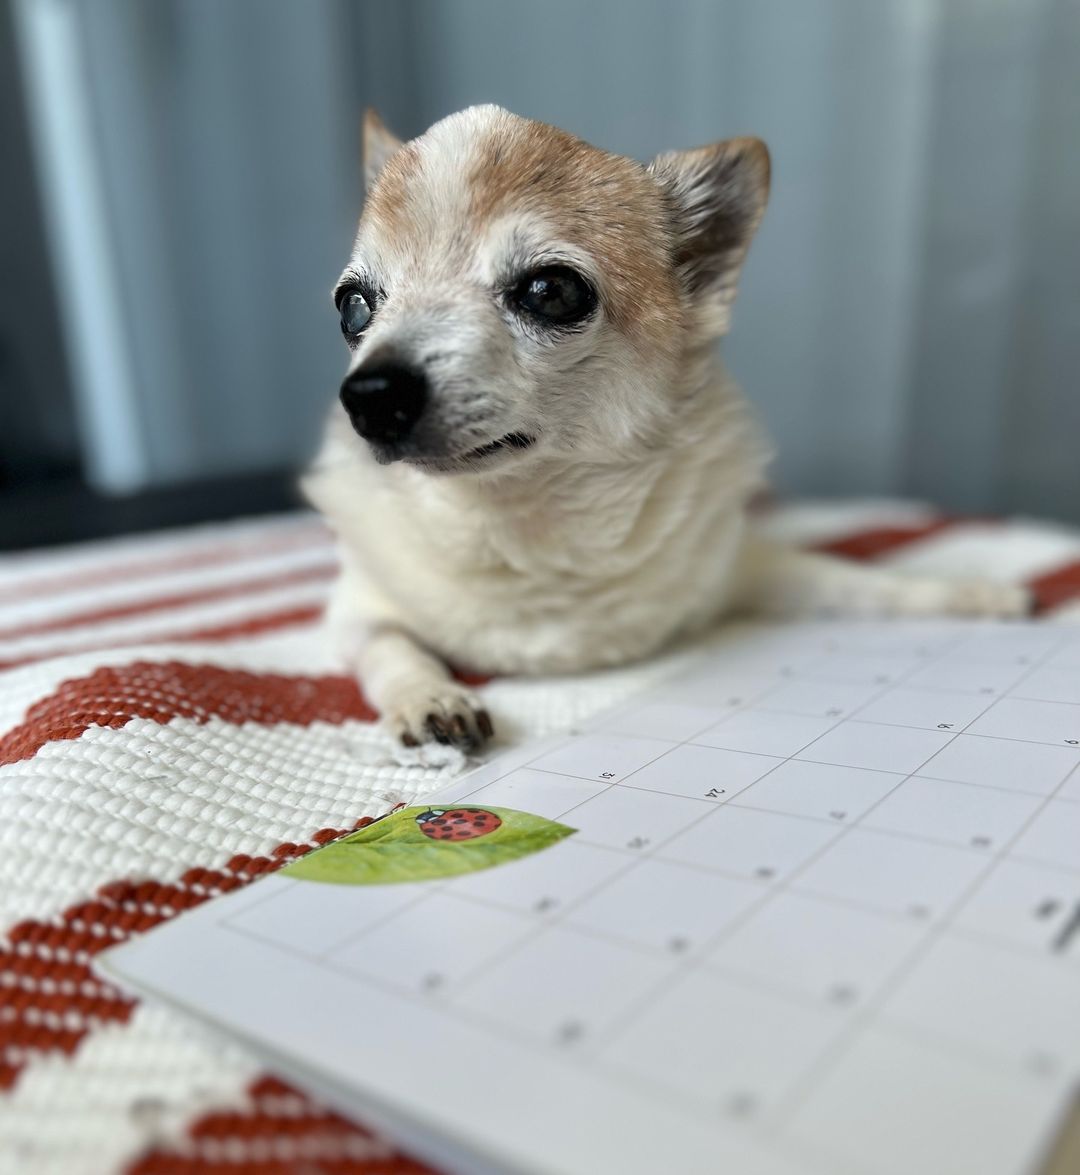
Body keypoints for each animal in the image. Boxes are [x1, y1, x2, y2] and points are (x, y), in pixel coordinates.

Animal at [300, 108, 1020, 752]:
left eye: (551, 291)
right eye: (353, 308)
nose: (369, 394)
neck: (528, 526)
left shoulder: (743, 568)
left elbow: (858, 580)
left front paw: (969, 592)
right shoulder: (354, 612)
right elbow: (390, 648)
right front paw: (432, 697)